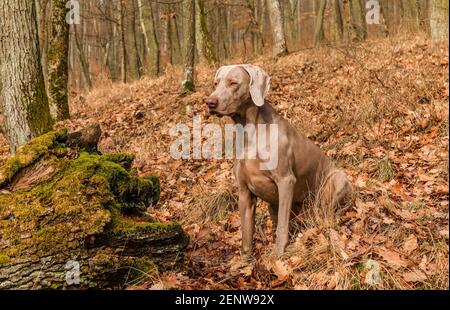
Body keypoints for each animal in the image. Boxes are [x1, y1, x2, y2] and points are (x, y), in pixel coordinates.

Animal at [206, 64, 354, 258]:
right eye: (216, 83)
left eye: (233, 83)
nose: (209, 102)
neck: (248, 132)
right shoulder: (244, 191)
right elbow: (246, 231)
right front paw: (245, 259)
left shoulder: (286, 181)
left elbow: (282, 227)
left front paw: (278, 254)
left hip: (337, 180)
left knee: (329, 210)